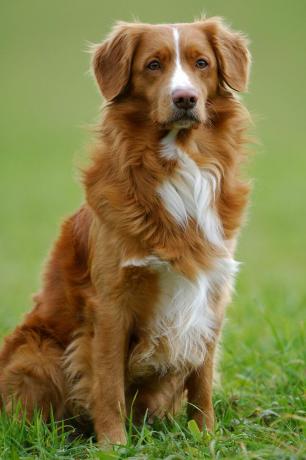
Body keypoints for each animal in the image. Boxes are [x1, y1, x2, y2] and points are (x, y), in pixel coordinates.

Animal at [0, 18, 251, 446]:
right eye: (153, 65)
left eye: (201, 63)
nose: (185, 98)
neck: (178, 163)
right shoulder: (110, 304)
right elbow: (108, 384)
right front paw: (113, 445)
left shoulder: (212, 295)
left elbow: (202, 381)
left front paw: (205, 436)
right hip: (35, 352)